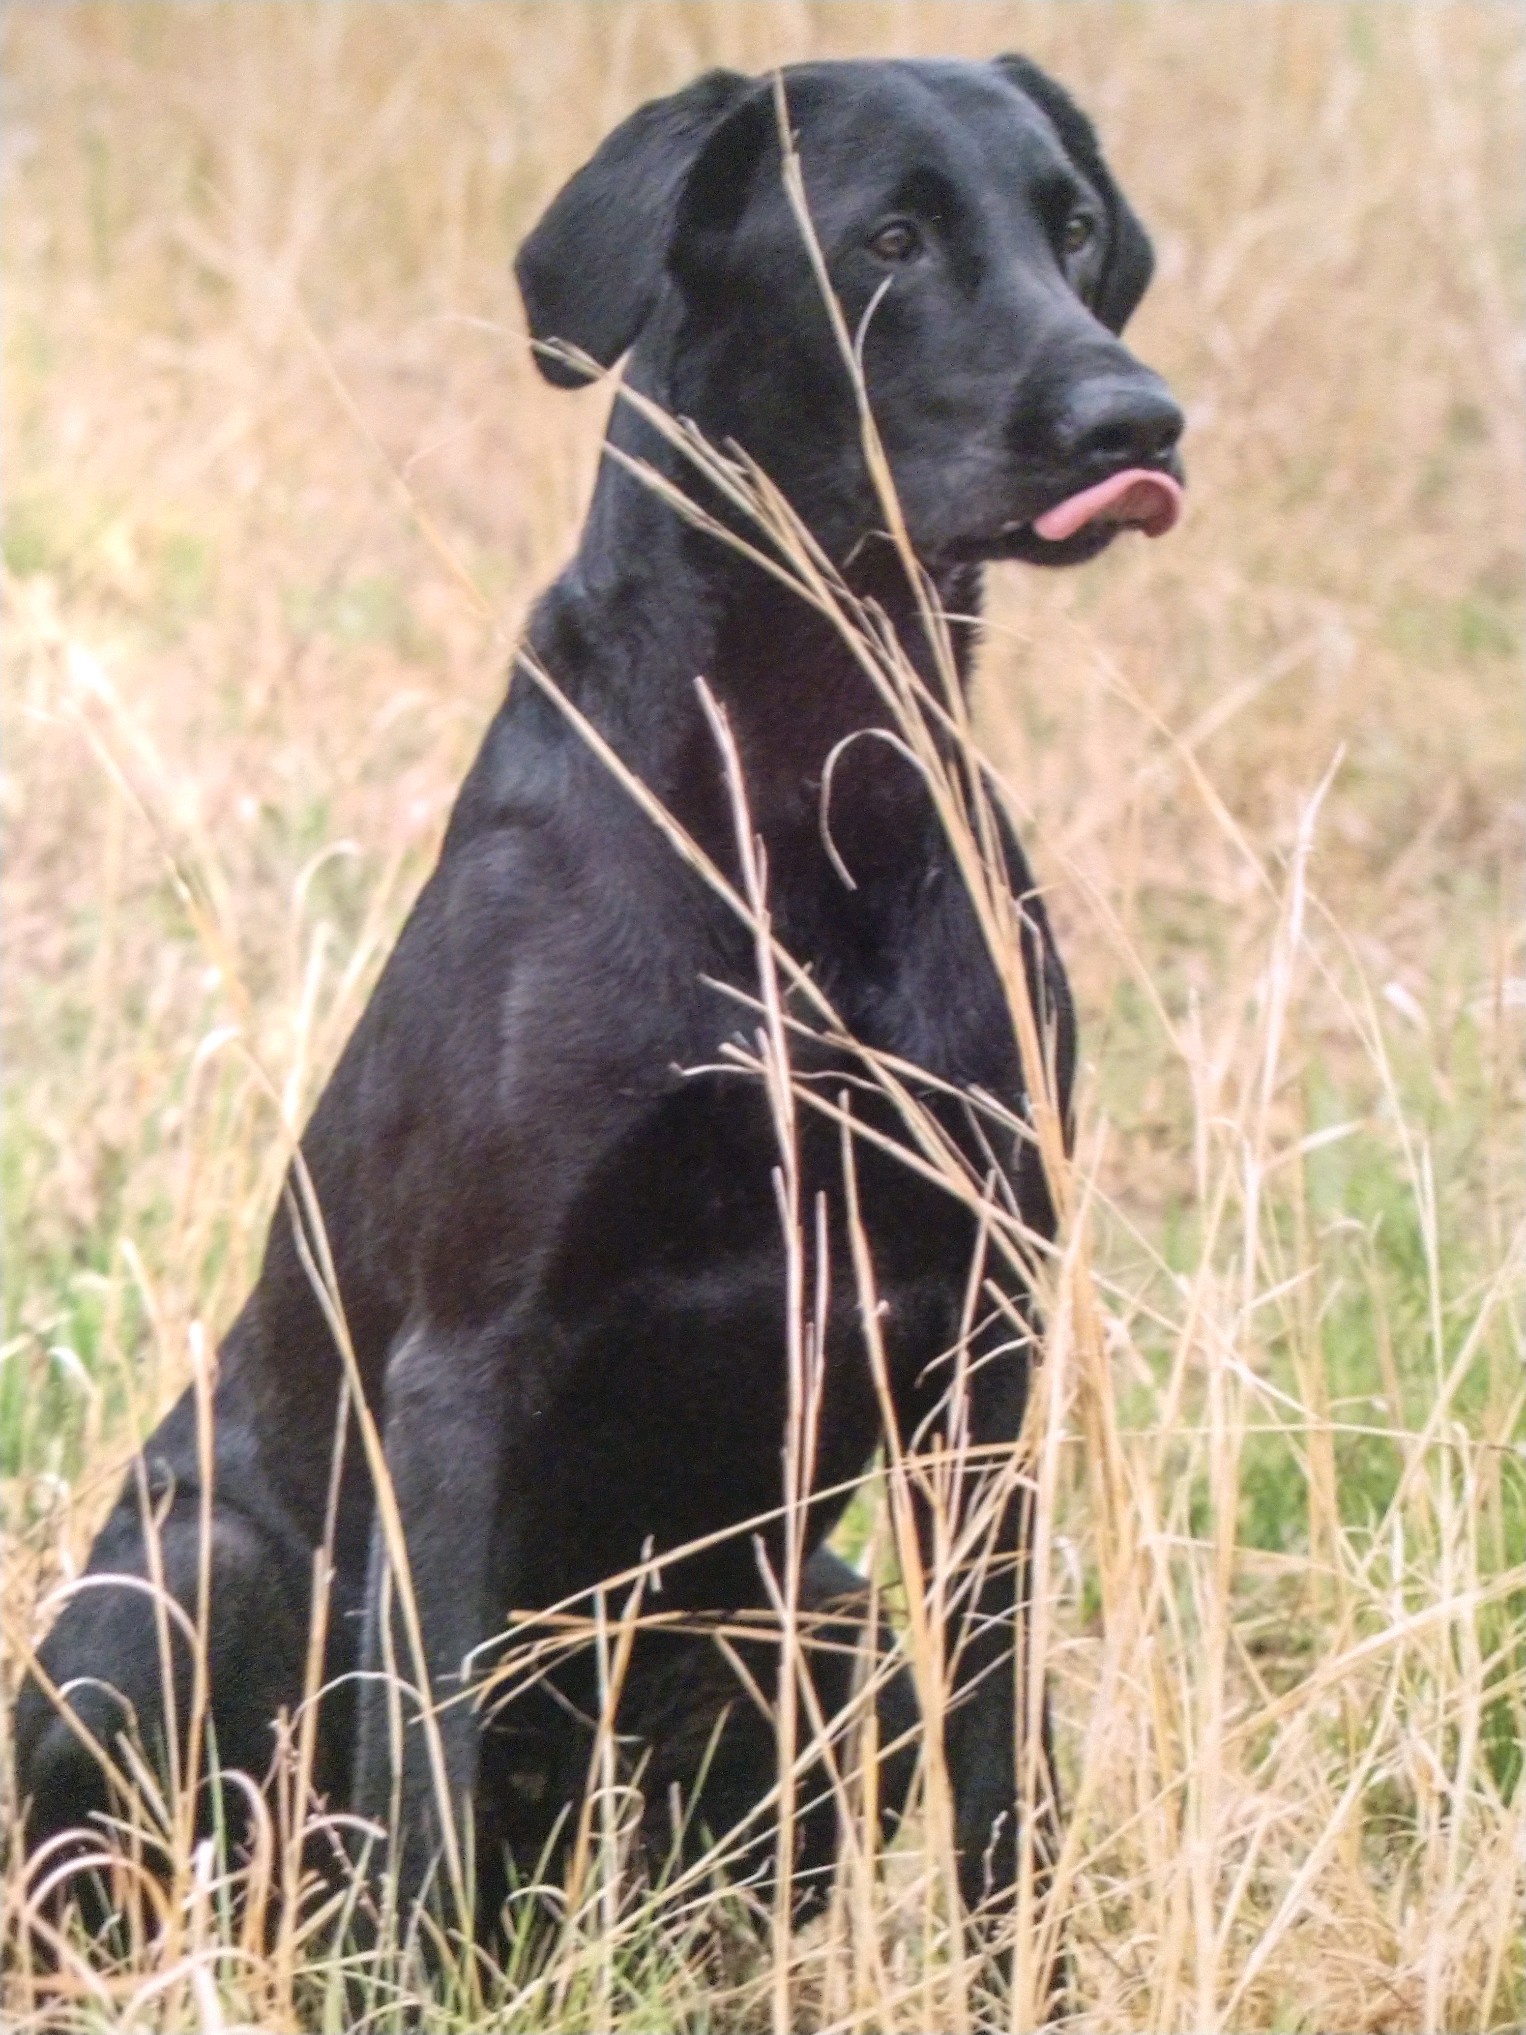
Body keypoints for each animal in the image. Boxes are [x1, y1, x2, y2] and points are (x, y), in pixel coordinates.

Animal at [14, 55, 1180, 1953]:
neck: (809, 783)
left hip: (823, 1618)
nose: (1138, 424)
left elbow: (1005, 1752)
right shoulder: (464, 1364)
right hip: (182, 1587)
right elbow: (422, 1762)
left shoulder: (990, 1344)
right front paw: (410, 1980)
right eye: (888, 237)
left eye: (1070, 227)